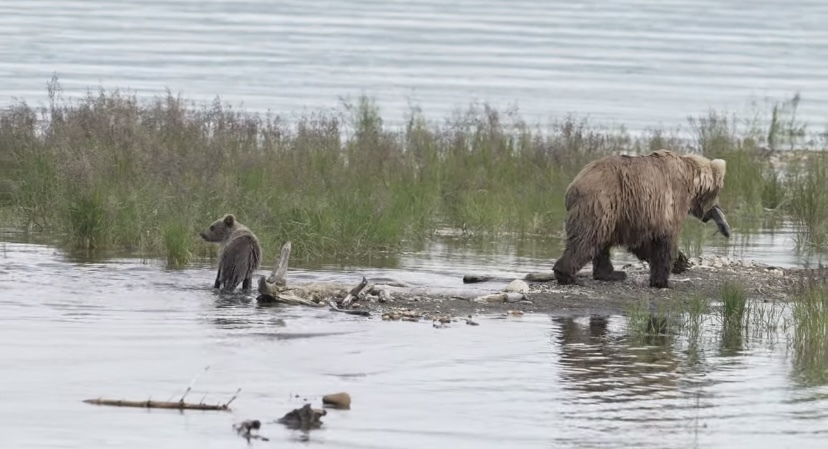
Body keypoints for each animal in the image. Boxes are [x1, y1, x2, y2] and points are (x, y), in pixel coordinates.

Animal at [552, 149, 728, 288]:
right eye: (718, 190)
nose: (715, 210)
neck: (690, 179)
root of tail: (573, 186)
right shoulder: (668, 202)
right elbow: (665, 240)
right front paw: (663, 280)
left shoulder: (637, 215)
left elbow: (644, 241)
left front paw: (680, 262)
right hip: (600, 203)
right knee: (587, 239)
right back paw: (567, 275)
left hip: (611, 211)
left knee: (600, 241)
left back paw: (611, 274)